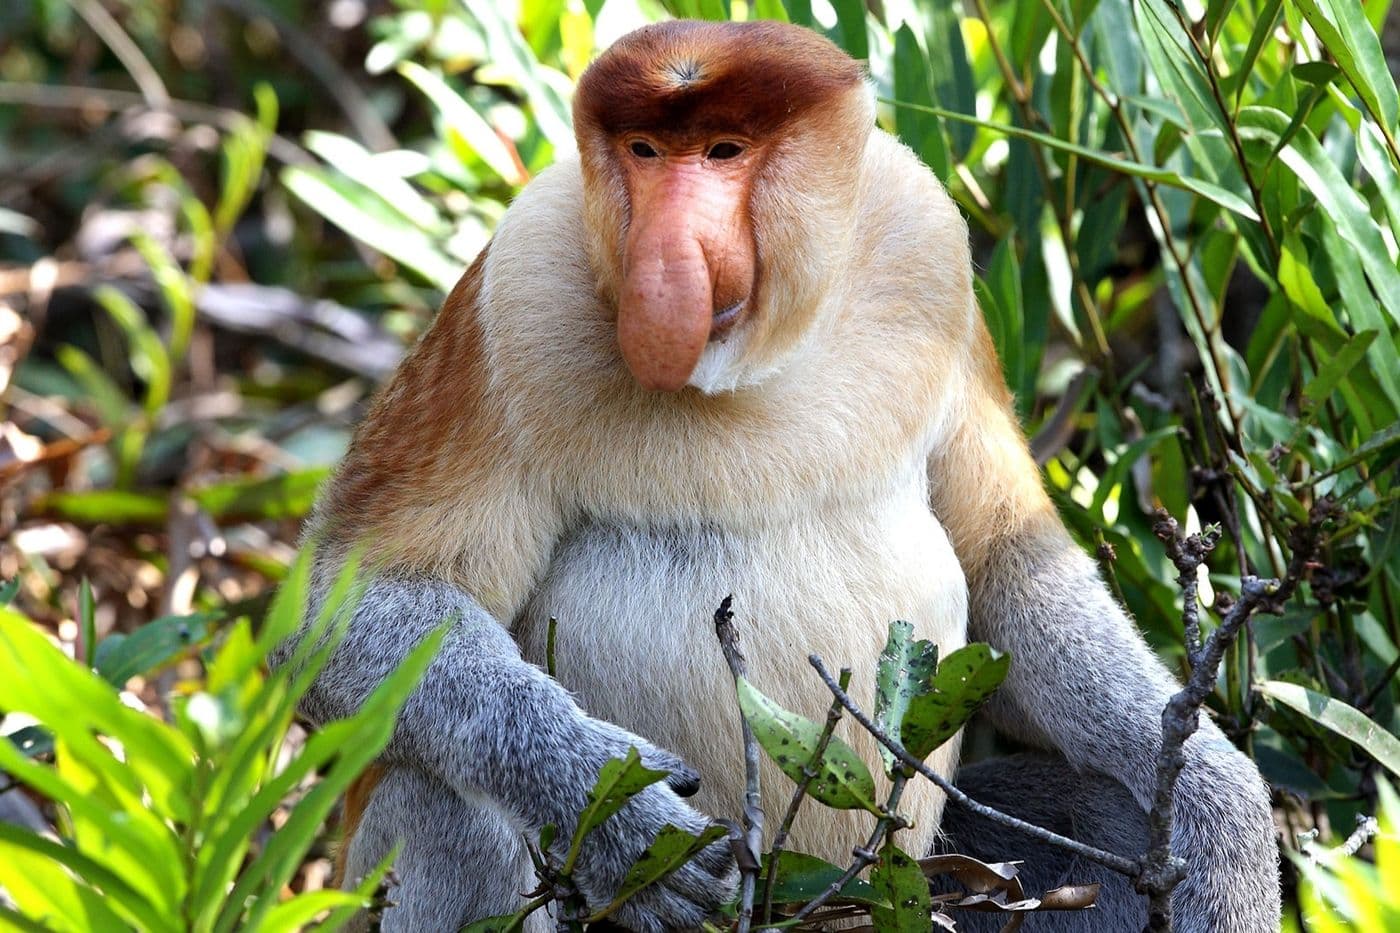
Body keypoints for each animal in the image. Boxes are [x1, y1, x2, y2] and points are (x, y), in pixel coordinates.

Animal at [277, 19, 1281, 933]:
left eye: (725, 150)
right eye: (644, 152)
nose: (664, 256)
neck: (750, 366)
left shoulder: (933, 258)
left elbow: (1009, 560)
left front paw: (1223, 804)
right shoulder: (509, 298)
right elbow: (347, 605)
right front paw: (623, 816)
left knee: (1093, 812)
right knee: (444, 800)